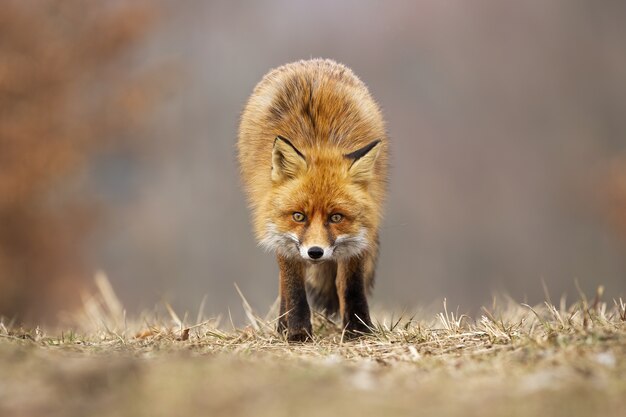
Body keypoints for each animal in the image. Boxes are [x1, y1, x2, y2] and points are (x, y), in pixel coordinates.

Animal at [238, 58, 386, 340]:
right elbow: (293, 286)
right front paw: (297, 332)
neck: (319, 143)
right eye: (299, 216)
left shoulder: (360, 233)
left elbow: (350, 285)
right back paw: (283, 325)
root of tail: (307, 63)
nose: (315, 252)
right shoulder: (283, 234)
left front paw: (359, 330)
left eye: (336, 217)